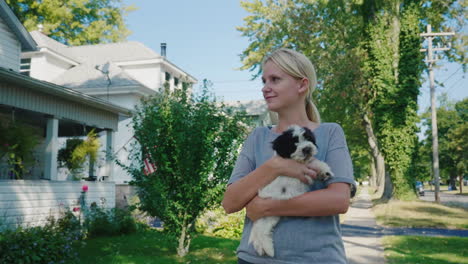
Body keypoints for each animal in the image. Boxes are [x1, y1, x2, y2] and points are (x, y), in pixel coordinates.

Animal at [249, 125, 332, 256]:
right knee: (260, 231)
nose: (307, 149)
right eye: (294, 143)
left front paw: (325, 172)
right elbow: (308, 167)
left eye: (308, 138)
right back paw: (267, 249)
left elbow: (314, 162)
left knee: (262, 231)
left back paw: (265, 248)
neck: (297, 161)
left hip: (271, 216)